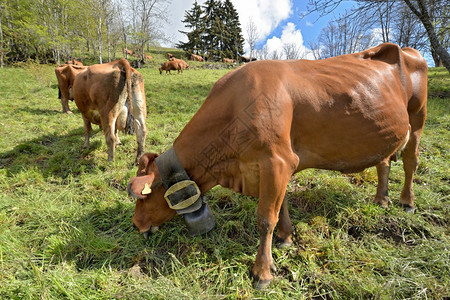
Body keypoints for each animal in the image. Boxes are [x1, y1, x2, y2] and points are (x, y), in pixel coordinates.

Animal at [126, 44, 426, 288]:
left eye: (145, 196)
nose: (136, 224)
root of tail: (407, 49)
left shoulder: (277, 161)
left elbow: (265, 217)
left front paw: (262, 273)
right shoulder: (272, 167)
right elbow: (281, 206)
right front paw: (284, 239)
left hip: (417, 117)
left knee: (410, 161)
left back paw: (407, 202)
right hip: (386, 131)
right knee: (384, 162)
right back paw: (381, 199)